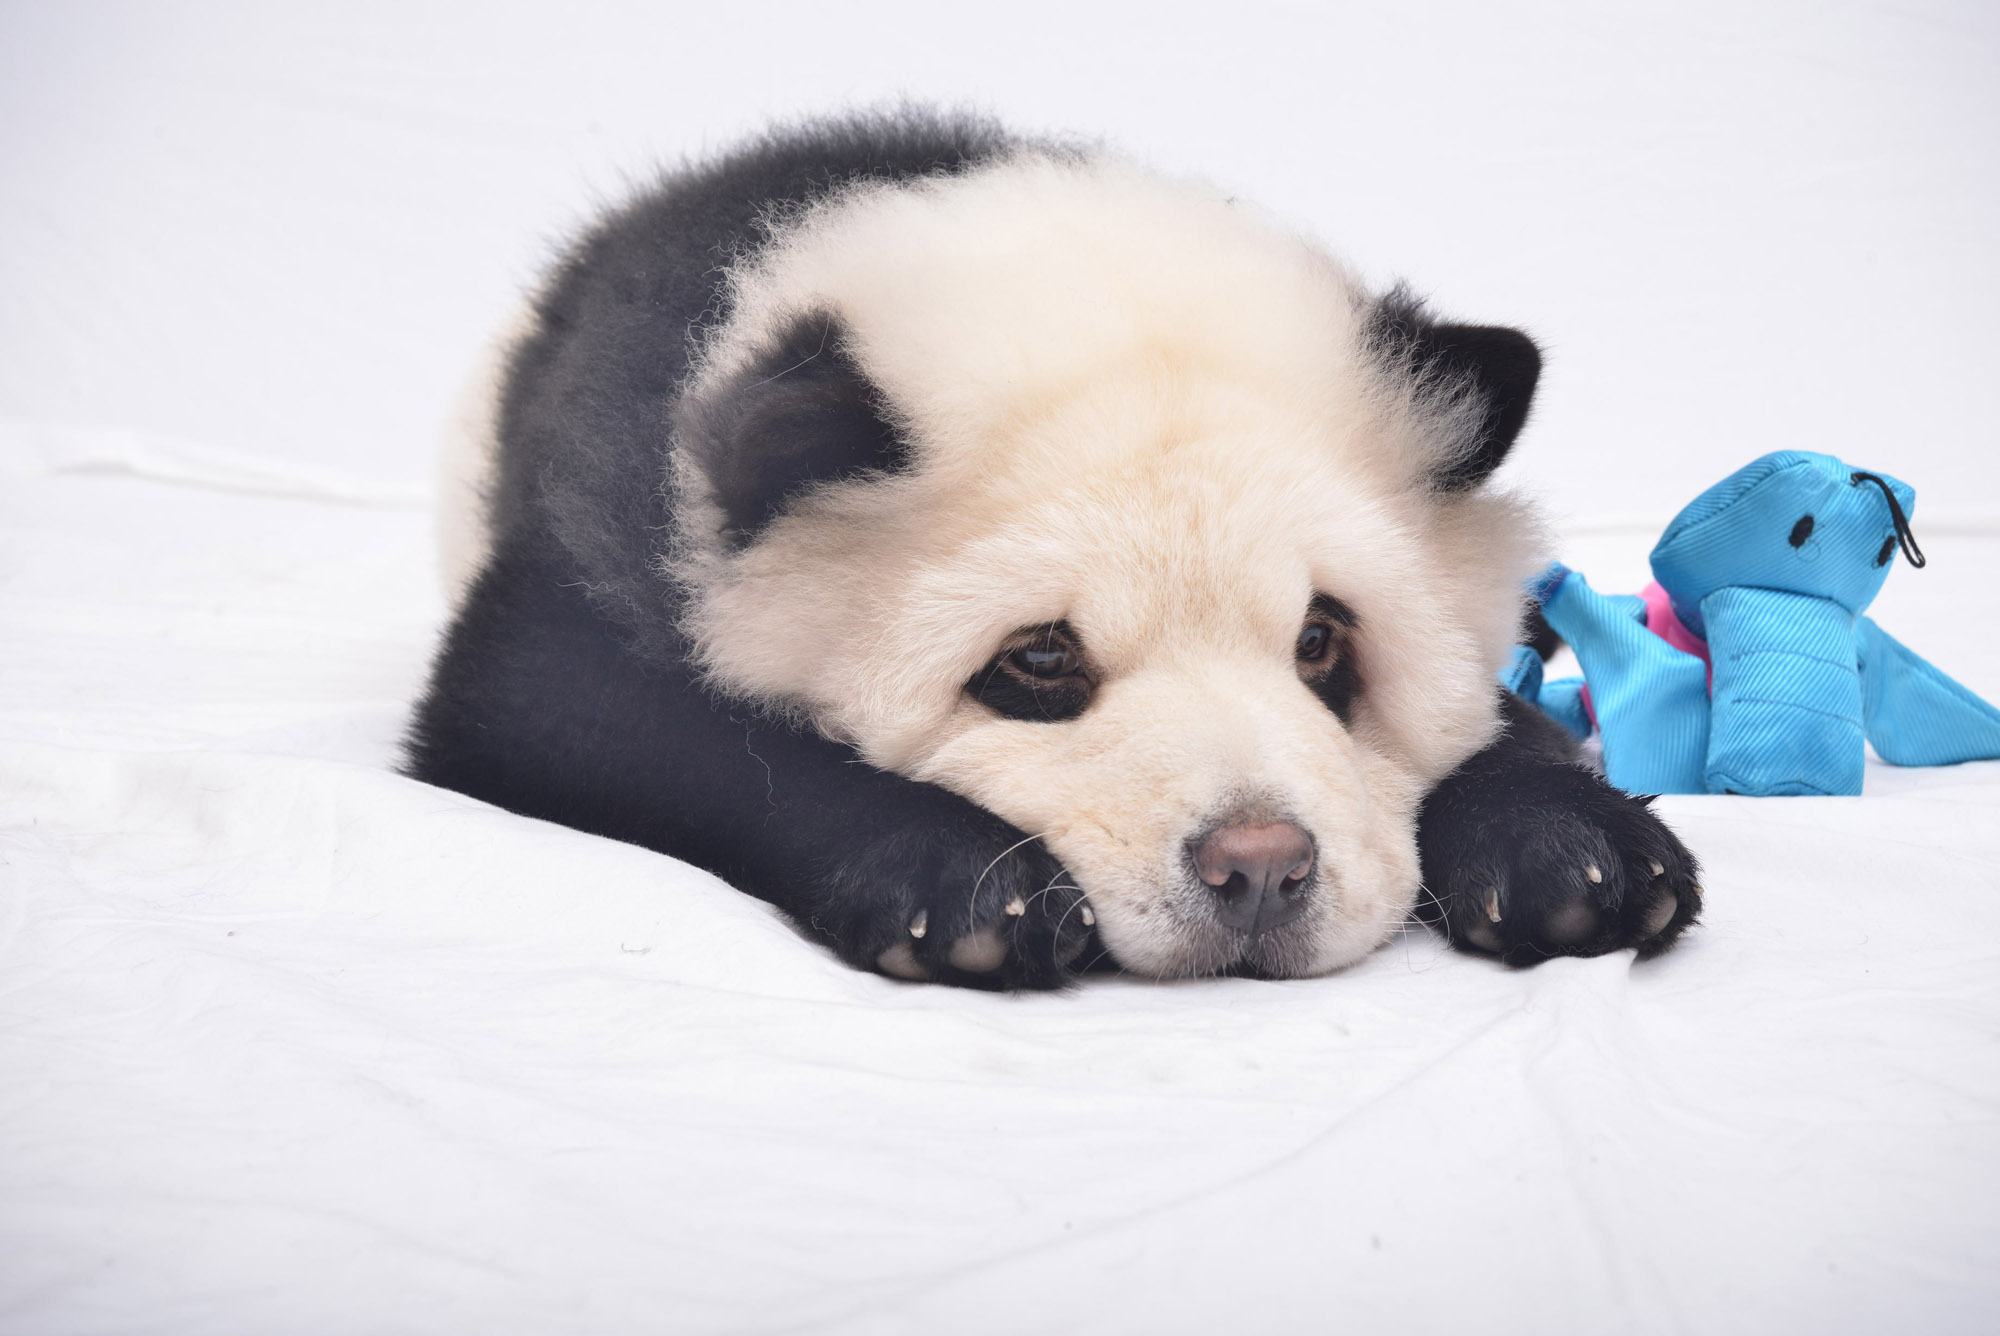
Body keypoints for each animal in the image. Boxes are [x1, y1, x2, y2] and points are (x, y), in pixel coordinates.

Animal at [407, 108, 1700, 988]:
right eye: (1037, 659)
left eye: (1320, 641)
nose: (1259, 869)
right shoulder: (599, 544)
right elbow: (619, 719)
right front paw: (956, 887)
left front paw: (1573, 851)